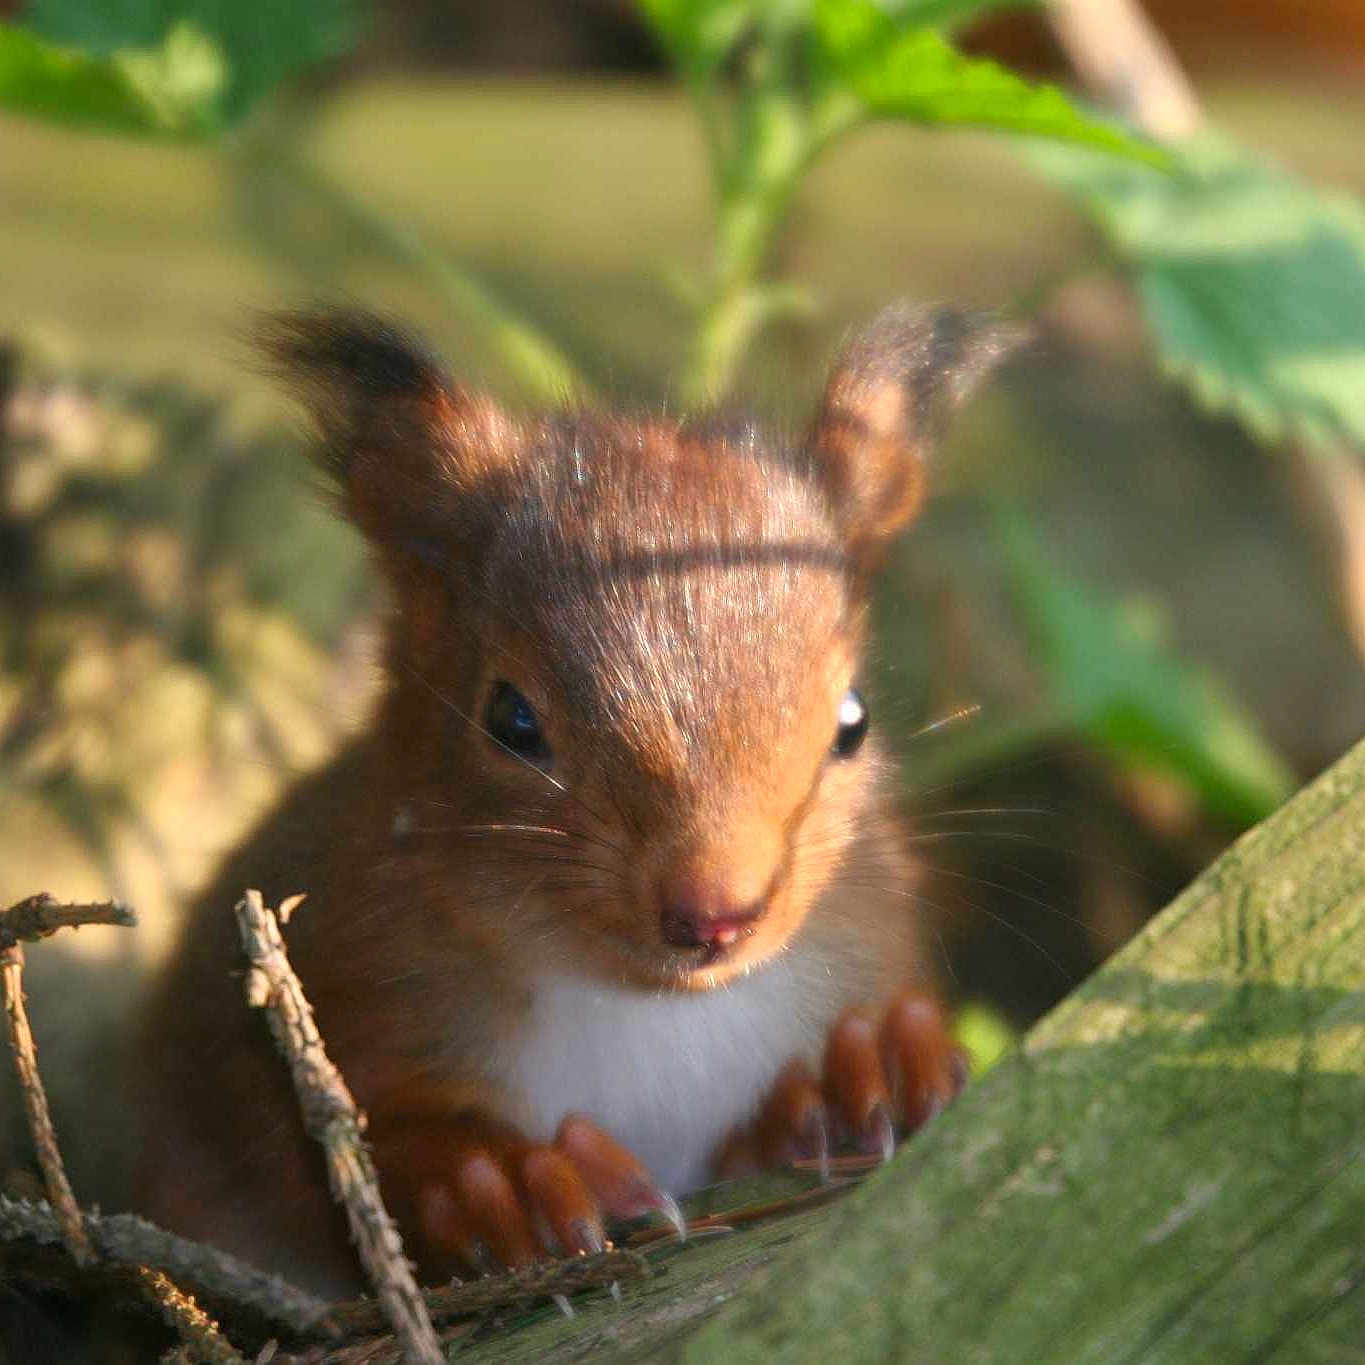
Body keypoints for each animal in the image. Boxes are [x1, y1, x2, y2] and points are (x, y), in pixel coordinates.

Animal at [132, 302, 1018, 1291]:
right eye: (509, 716)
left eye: (852, 718)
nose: (716, 911)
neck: (649, 1008)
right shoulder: (306, 1008)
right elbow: (348, 1156)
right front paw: (505, 1182)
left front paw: (863, 1070)